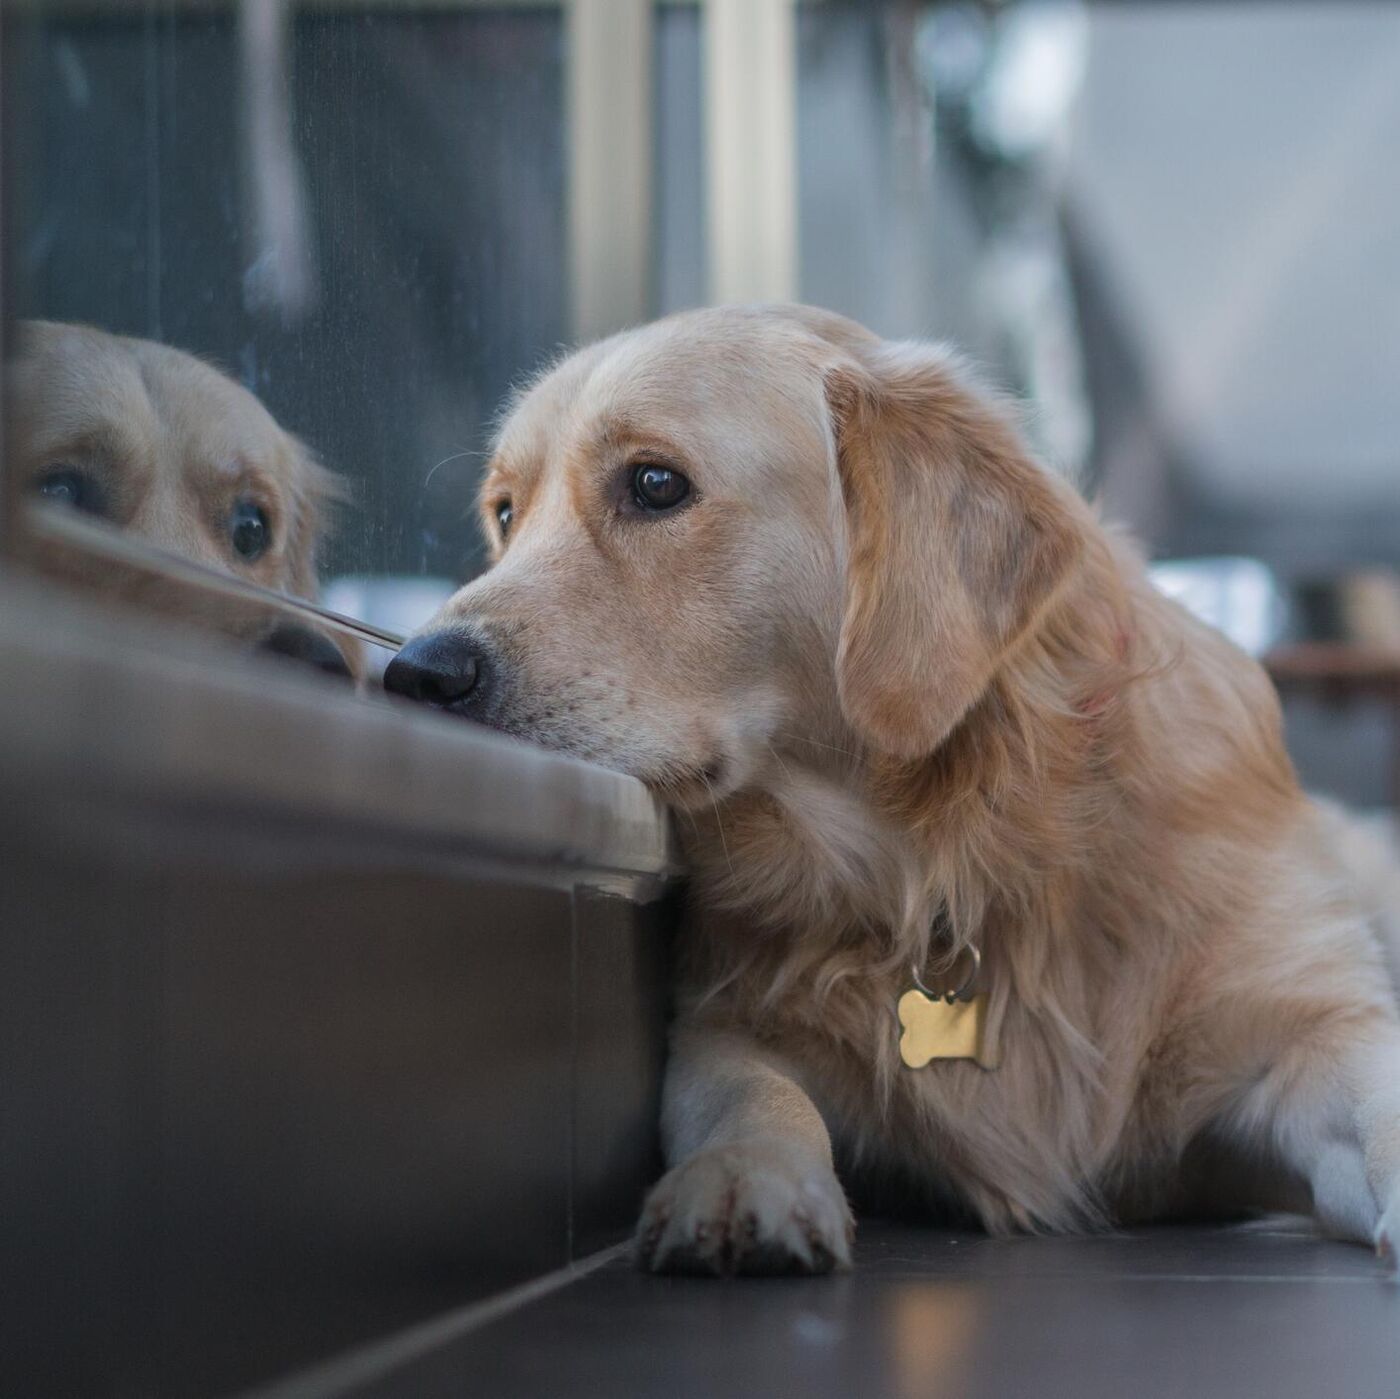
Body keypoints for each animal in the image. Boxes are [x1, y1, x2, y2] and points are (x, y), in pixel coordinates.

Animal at [380, 312, 1400, 1277]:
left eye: (656, 484)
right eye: (505, 513)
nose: (417, 673)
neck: (957, 851)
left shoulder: (1312, 1026)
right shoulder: (725, 1024)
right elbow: (749, 1092)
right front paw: (744, 1174)